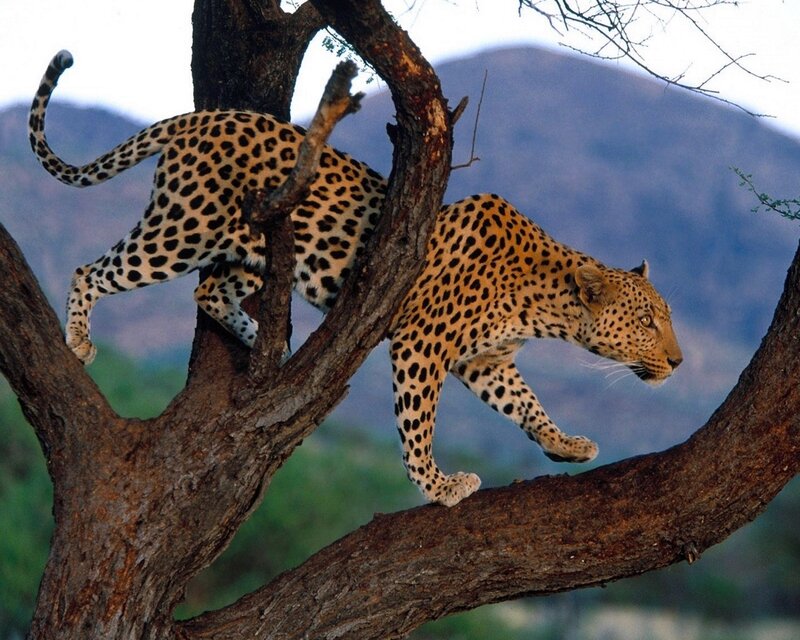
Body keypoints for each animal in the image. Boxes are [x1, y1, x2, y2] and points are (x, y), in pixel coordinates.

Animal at [29, 50, 682, 506]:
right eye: (650, 321)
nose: (677, 362)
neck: (546, 306)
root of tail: (200, 117)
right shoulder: (423, 343)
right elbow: (418, 422)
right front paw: (439, 486)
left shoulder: (486, 360)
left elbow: (527, 403)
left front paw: (564, 443)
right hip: (182, 229)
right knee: (95, 269)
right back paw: (80, 339)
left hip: (249, 248)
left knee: (210, 289)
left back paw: (271, 343)